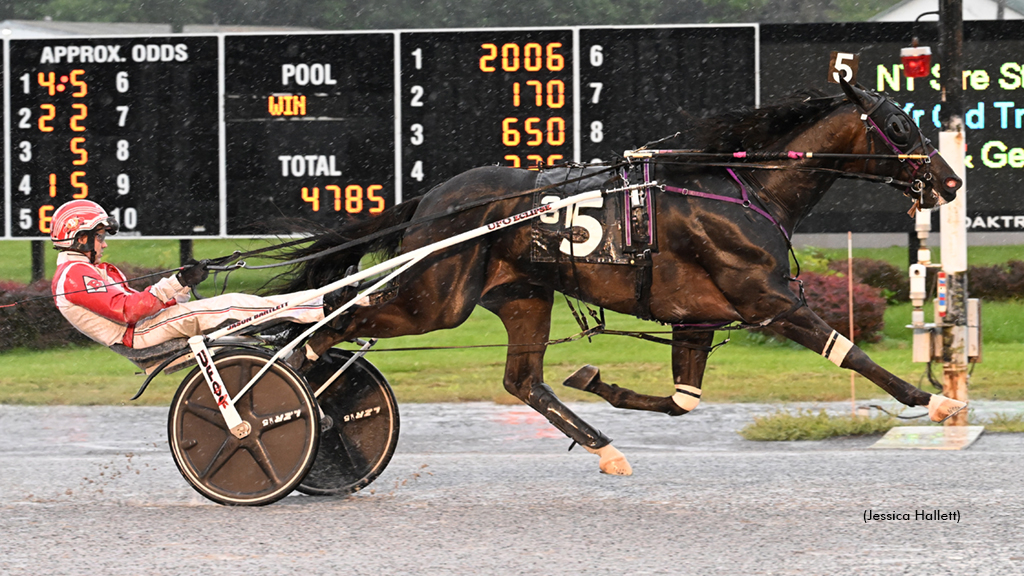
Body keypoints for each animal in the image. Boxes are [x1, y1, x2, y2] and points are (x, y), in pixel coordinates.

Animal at [276, 80, 962, 473]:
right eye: (900, 126)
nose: (951, 180)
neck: (745, 190)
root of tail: (432, 200)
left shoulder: (697, 316)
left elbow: (682, 400)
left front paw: (595, 378)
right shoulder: (766, 298)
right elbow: (851, 353)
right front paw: (937, 401)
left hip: (523, 294)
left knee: (523, 381)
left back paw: (606, 449)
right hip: (436, 297)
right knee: (337, 318)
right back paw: (291, 384)